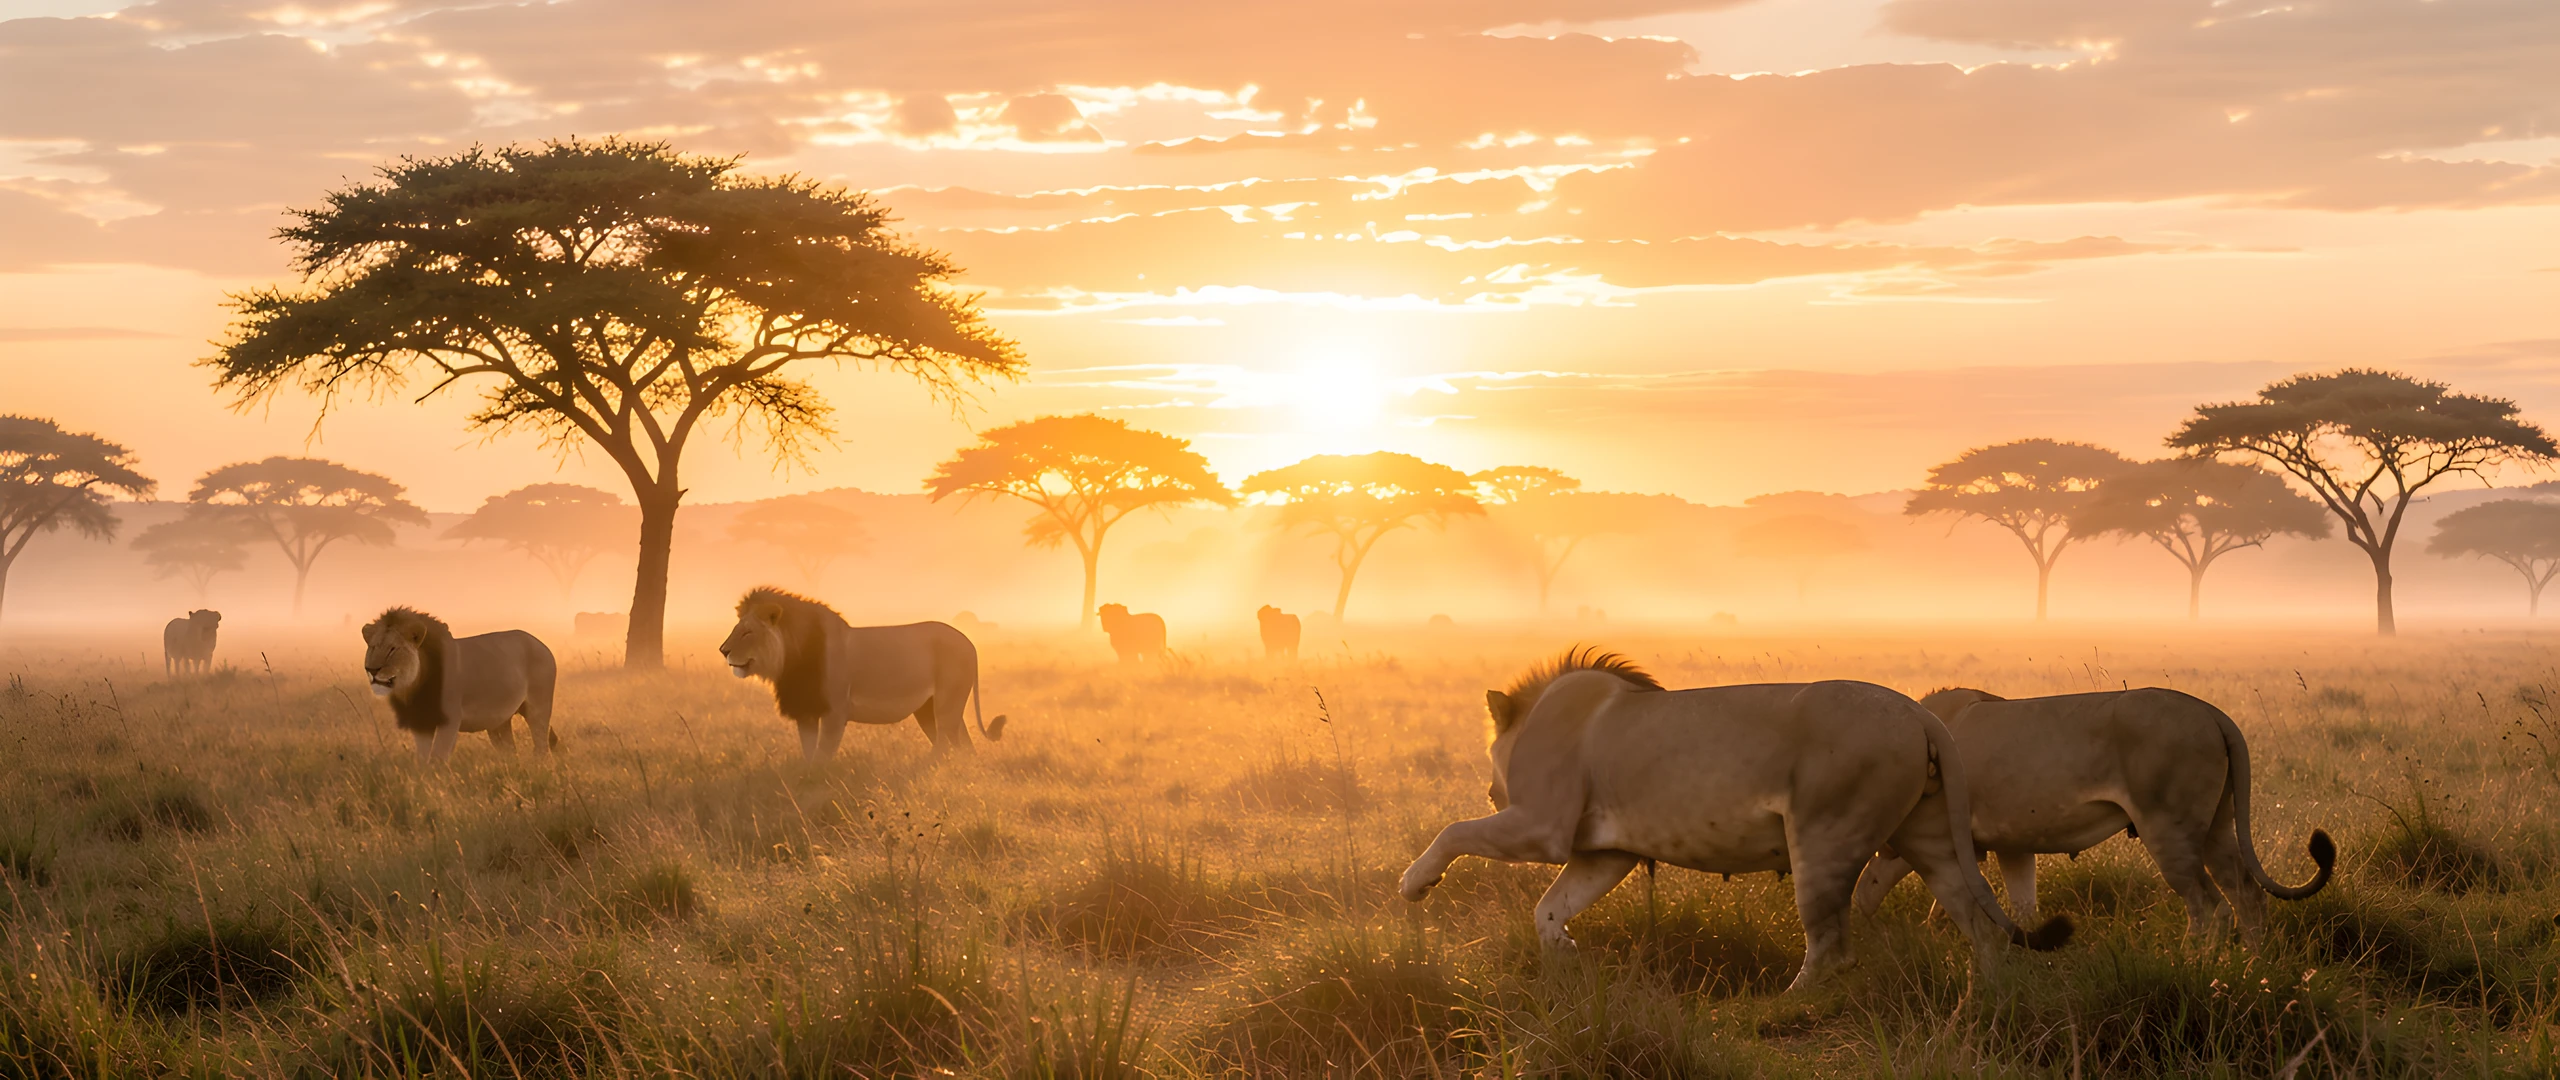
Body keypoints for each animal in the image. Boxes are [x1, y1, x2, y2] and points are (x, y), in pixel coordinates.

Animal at [360, 607, 557, 765]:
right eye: (373, 647)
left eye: (392, 649)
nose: (371, 670)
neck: (413, 686)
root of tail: (543, 645)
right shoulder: (420, 721)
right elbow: (423, 758)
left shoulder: (450, 720)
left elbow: (438, 756)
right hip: (499, 722)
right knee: (510, 751)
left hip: (538, 709)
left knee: (542, 746)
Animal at [721, 587, 1006, 757]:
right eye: (737, 628)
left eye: (747, 632)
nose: (723, 651)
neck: (790, 660)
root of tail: (969, 642)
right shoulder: (806, 711)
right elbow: (809, 754)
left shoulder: (835, 712)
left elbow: (823, 756)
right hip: (929, 708)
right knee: (963, 745)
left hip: (946, 704)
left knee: (945, 743)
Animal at [1400, 649, 2070, 990]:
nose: (1490, 792)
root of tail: (1917, 711)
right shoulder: (1605, 851)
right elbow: (1548, 909)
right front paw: (1565, 957)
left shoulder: (1542, 826)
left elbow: (1454, 831)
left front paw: (1415, 884)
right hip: (1929, 837)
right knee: (1980, 925)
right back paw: (1986, 999)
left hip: (1823, 836)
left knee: (1831, 948)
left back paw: (1782, 1006)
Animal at [1855, 687, 2333, 941]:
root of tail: (2212, 712)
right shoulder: (2012, 845)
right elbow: (2021, 901)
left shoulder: (1939, 839)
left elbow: (1876, 883)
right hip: (2216, 827)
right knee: (2247, 894)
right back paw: (2253, 967)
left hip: (2169, 829)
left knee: (2208, 906)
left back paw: (2195, 964)